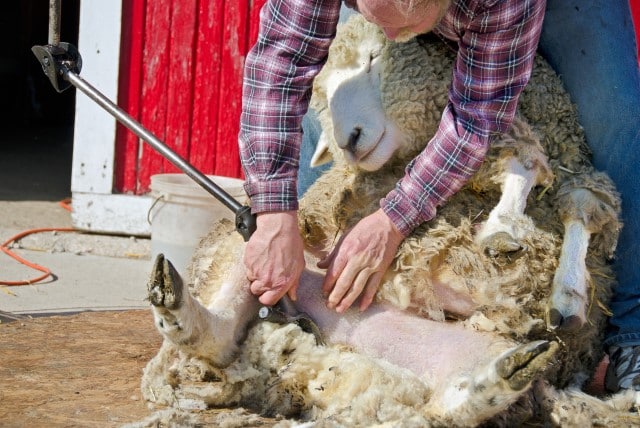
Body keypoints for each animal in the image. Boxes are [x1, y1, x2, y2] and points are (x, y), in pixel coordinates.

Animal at [140, 14, 636, 428]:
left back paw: (505, 374)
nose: (349, 140)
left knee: (442, 406)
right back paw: (176, 304)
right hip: (269, 246)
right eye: (320, 97)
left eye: (375, 58)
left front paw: (553, 280)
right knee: (223, 333)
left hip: (421, 352)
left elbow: (575, 195)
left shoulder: (565, 160)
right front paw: (508, 233)